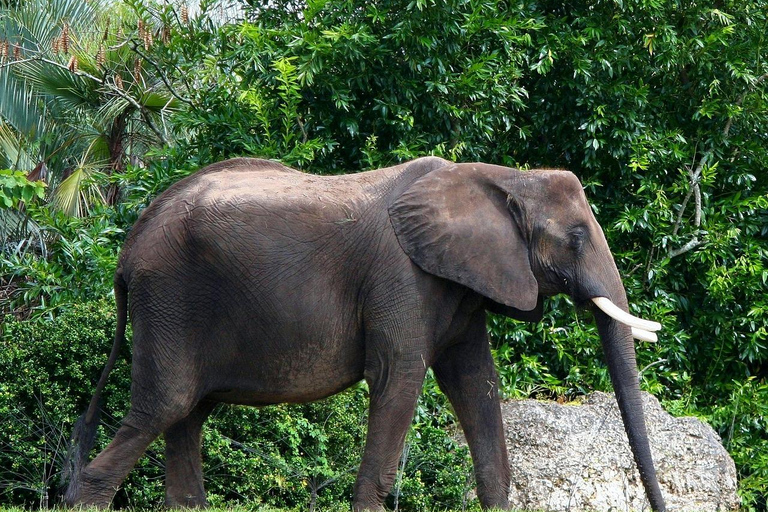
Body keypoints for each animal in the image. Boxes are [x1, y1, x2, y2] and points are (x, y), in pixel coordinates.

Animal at [64, 158, 664, 510]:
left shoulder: (460, 287)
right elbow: (399, 379)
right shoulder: (400, 277)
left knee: (188, 417)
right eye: (577, 236)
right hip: (168, 298)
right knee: (165, 406)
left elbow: (476, 384)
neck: (501, 176)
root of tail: (130, 243)